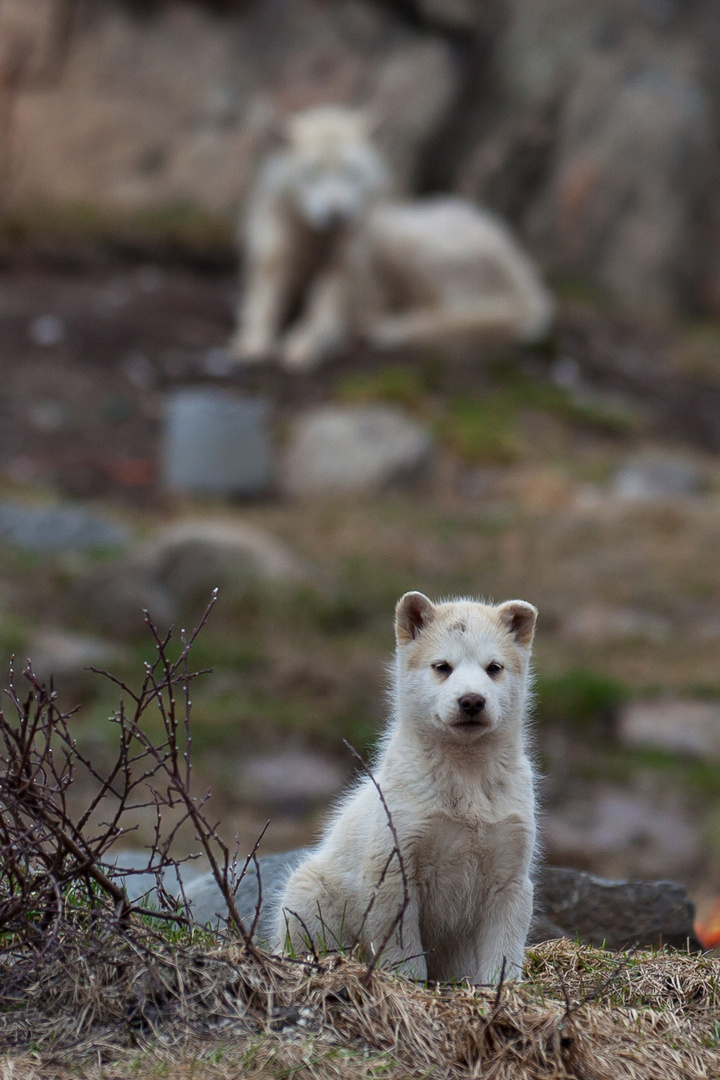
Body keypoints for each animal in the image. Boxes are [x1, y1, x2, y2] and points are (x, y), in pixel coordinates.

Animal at [273, 596, 537, 984]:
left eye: (494, 667)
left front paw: (497, 987)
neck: (465, 776)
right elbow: (401, 943)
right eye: (442, 666)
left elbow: (504, 941)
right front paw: (408, 979)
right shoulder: (394, 862)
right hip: (309, 891)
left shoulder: (511, 870)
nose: (472, 701)